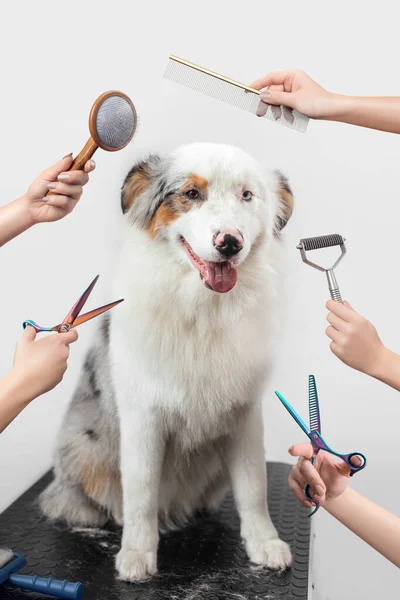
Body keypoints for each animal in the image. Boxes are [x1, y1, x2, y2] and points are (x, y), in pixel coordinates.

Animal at [41, 142, 294, 580]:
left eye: (247, 195)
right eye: (191, 193)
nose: (230, 242)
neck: (203, 312)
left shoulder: (245, 413)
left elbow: (254, 488)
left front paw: (264, 544)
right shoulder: (144, 416)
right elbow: (141, 492)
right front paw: (137, 555)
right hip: (84, 452)